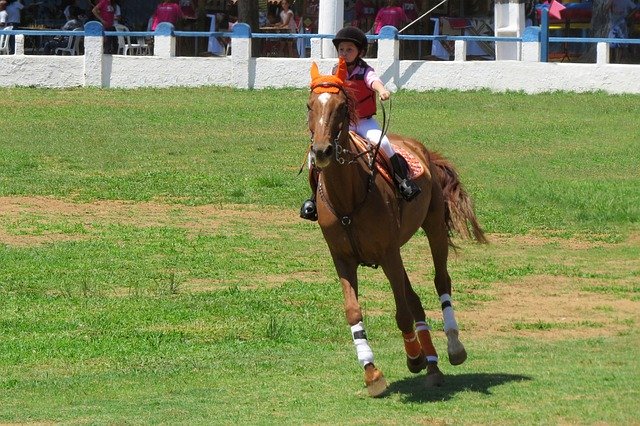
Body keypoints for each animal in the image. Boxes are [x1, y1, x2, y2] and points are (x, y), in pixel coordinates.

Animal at [306, 59, 484, 396]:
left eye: (341, 107)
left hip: (432, 228)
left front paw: (414, 358)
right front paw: (372, 373)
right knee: (414, 300)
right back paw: (433, 366)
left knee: (440, 282)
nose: (321, 151)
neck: (348, 198)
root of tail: (423, 149)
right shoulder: (343, 259)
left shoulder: (388, 253)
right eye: (310, 105)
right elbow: (355, 312)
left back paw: (452, 348)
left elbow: (402, 314)